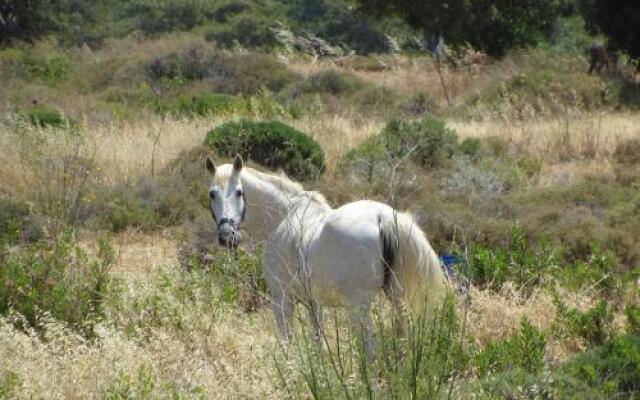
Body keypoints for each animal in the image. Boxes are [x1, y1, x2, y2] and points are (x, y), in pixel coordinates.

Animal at [208, 155, 448, 352]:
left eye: (239, 192)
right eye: (212, 194)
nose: (227, 236)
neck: (283, 217)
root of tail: (383, 217)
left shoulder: (282, 298)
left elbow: (288, 343)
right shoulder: (314, 302)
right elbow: (319, 341)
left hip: (358, 307)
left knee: (368, 346)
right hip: (396, 296)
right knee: (407, 330)